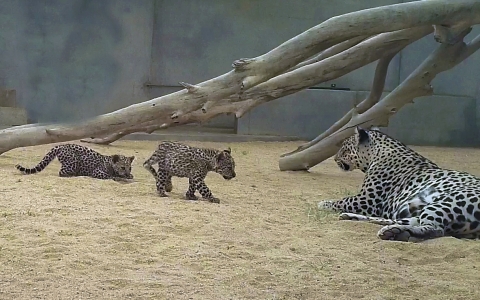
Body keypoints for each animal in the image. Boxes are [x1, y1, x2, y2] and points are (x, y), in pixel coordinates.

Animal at [318, 126, 480, 241]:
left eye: (345, 147)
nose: (334, 159)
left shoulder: (367, 200)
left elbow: (342, 200)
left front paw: (324, 203)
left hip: (447, 202)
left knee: (435, 229)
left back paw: (397, 233)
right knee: (405, 221)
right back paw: (354, 218)